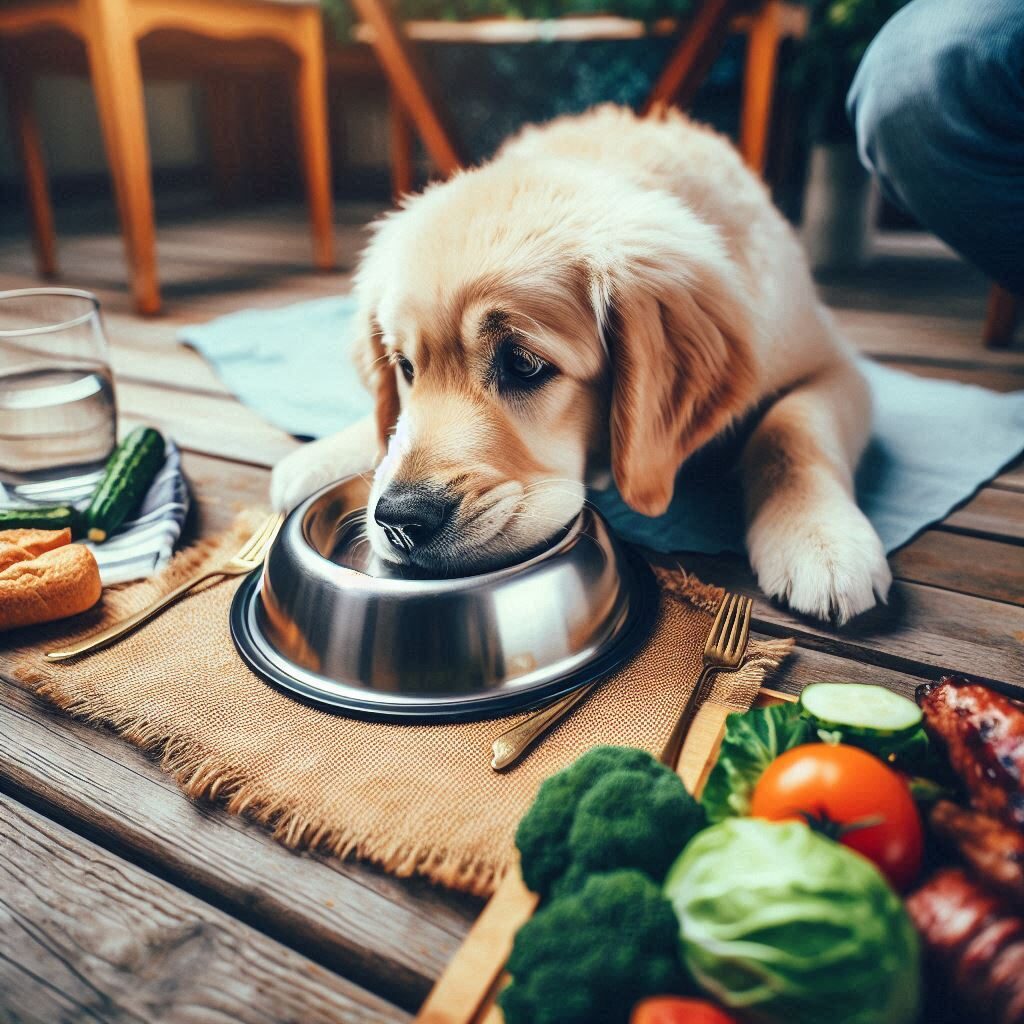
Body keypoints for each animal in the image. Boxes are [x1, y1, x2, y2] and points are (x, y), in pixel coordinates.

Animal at [272, 103, 888, 622]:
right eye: (405, 366)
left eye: (524, 364)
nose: (400, 519)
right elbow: (389, 424)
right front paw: (335, 451)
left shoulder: (832, 361)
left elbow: (791, 431)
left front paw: (821, 537)